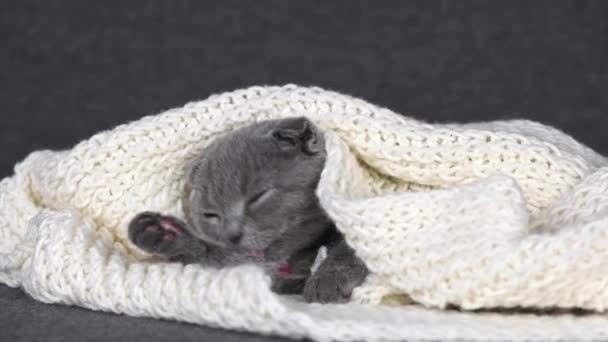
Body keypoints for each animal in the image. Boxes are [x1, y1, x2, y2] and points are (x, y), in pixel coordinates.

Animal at [129, 117, 370, 302]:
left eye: (257, 197)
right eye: (211, 214)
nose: (232, 235)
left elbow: (353, 246)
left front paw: (326, 280)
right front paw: (162, 231)